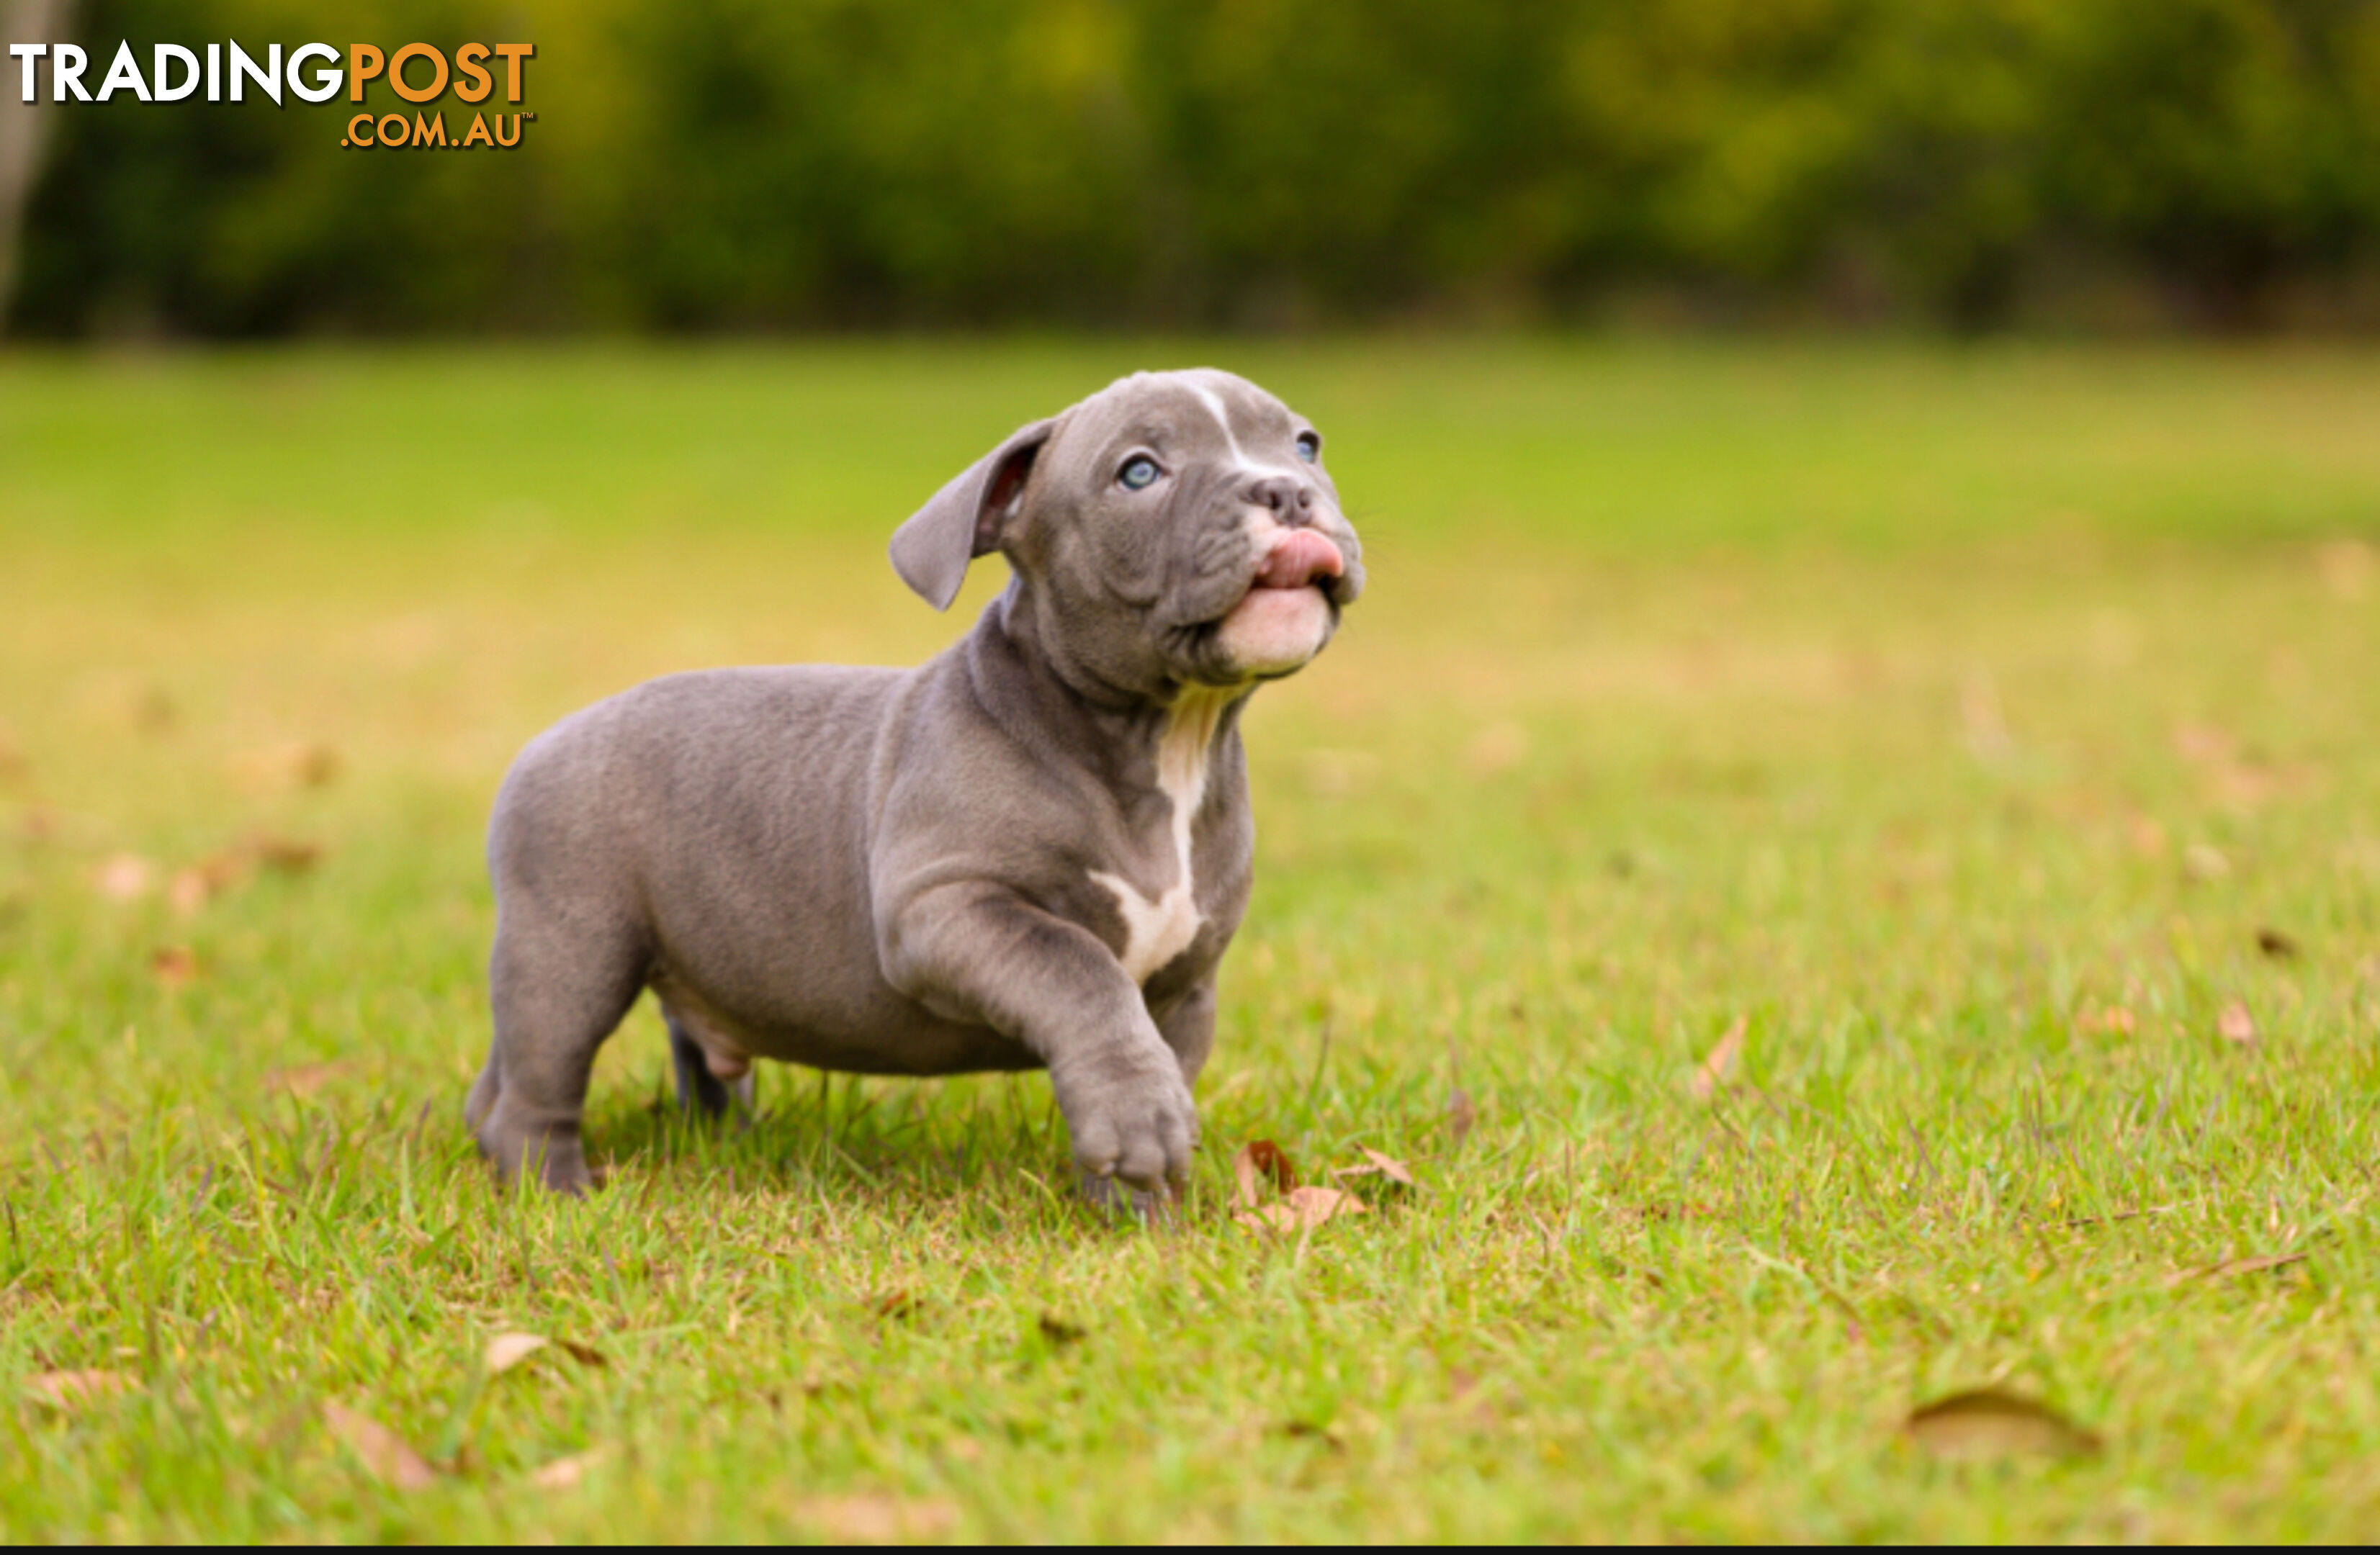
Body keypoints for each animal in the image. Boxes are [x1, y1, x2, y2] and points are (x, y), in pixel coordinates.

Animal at [466, 371, 1370, 1198]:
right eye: (1140, 473)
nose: (1284, 490)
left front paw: (1142, 1216)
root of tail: (546, 738)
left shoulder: (1185, 989)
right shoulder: (948, 909)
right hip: (570, 948)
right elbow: (1078, 968)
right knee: (538, 1084)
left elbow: (1158, 1059)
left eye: (1305, 445)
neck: (1164, 740)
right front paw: (1139, 1127)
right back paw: (556, 1195)